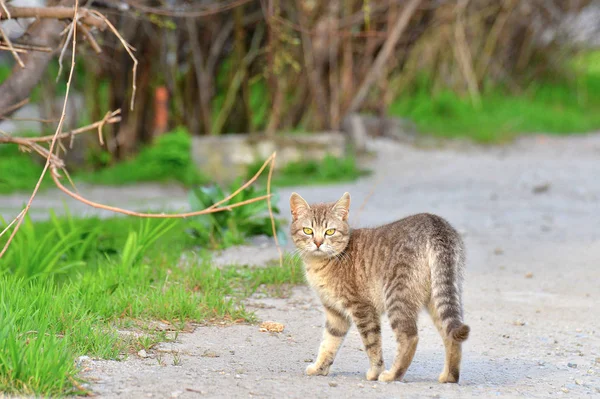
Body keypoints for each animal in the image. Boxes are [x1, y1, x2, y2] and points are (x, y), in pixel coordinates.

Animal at [290, 192, 468, 382]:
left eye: (330, 231)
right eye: (308, 230)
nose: (318, 242)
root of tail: (434, 223)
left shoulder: (362, 309)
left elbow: (372, 344)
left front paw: (376, 371)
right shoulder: (335, 313)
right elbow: (329, 343)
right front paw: (319, 367)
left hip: (396, 296)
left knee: (410, 337)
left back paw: (392, 374)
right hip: (440, 297)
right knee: (451, 336)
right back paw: (450, 376)